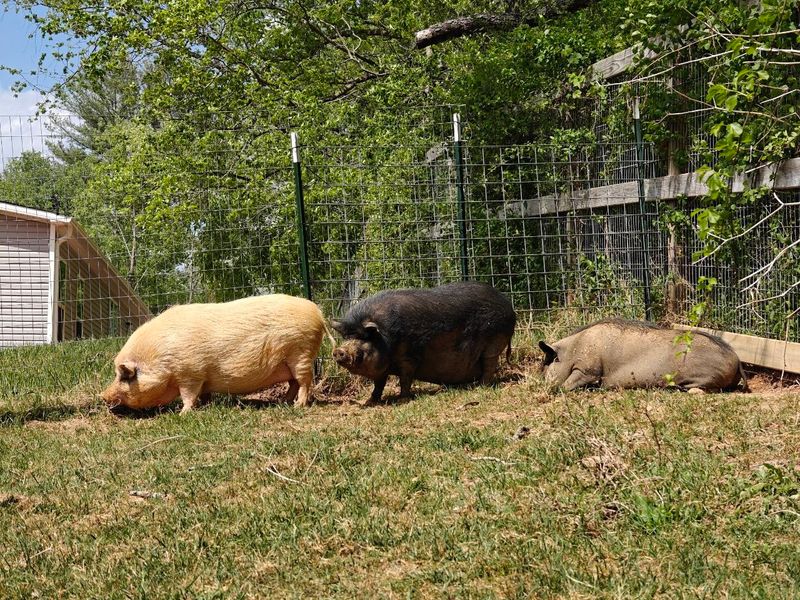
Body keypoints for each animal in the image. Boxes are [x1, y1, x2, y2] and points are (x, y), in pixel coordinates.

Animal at [102, 294, 331, 413]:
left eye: (125, 375)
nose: (102, 395)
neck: (161, 359)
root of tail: (318, 313)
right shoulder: (202, 379)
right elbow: (203, 394)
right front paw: (206, 405)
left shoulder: (190, 374)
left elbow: (188, 395)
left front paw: (183, 413)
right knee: (293, 383)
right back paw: (282, 402)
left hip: (301, 353)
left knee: (304, 381)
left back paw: (298, 405)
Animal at [331, 282, 516, 403]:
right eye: (346, 338)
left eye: (364, 339)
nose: (339, 351)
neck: (386, 338)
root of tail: (509, 307)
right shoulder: (382, 367)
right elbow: (379, 383)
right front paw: (370, 402)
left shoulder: (408, 357)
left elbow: (405, 379)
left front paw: (401, 401)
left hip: (494, 342)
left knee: (490, 364)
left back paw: (481, 386)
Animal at [538, 319, 747, 392]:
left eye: (547, 363)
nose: (543, 384)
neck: (573, 349)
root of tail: (737, 359)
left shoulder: (589, 369)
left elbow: (569, 384)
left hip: (706, 375)